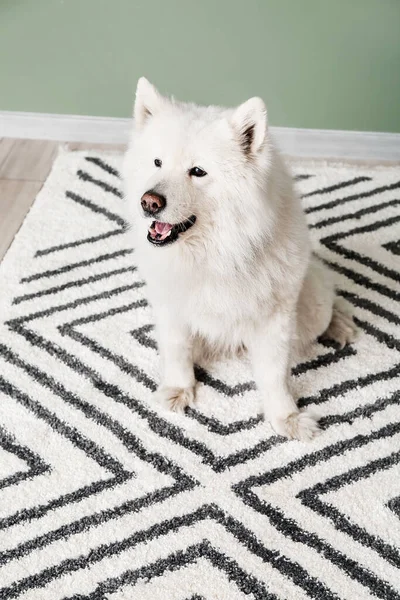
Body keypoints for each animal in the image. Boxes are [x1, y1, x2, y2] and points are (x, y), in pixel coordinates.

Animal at [122, 77, 356, 438]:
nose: (149, 202)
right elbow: (177, 350)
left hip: (314, 303)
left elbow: (274, 375)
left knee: (331, 303)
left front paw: (286, 419)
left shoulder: (274, 320)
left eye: (198, 171)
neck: (216, 253)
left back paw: (340, 323)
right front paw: (179, 390)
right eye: (157, 163)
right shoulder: (171, 306)